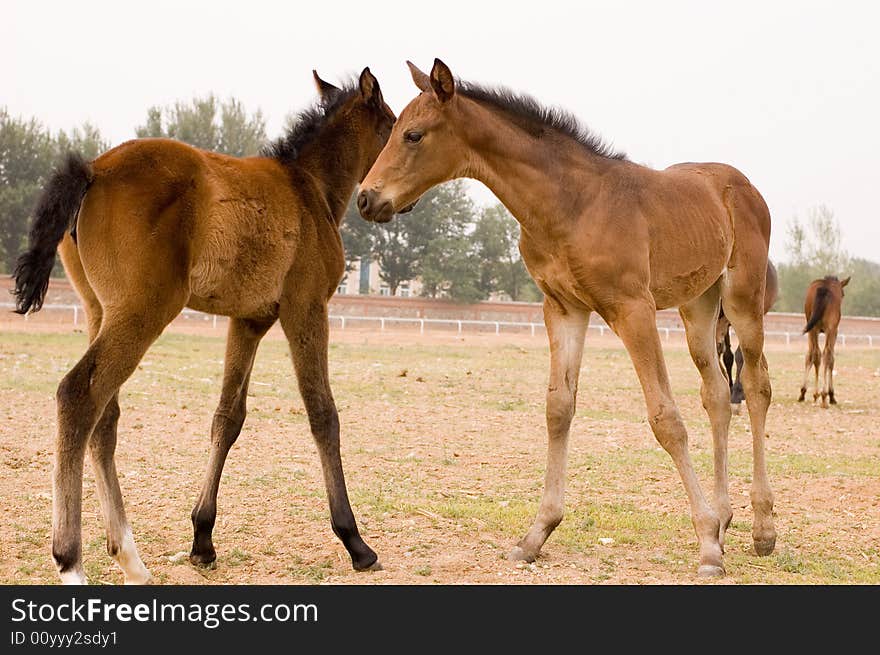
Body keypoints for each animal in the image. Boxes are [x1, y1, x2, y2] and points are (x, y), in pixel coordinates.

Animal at [11, 69, 392, 588]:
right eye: (396, 124)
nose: (380, 201)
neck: (308, 187)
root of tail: (94, 169)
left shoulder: (250, 319)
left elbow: (227, 417)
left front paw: (202, 539)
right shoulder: (306, 308)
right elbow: (322, 415)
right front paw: (354, 541)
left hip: (98, 310)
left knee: (104, 416)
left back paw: (131, 559)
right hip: (143, 310)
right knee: (78, 394)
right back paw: (71, 562)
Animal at [354, 59, 772, 576]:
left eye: (413, 135)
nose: (366, 199)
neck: (572, 203)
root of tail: (743, 185)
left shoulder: (632, 308)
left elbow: (665, 418)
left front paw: (708, 546)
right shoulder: (563, 308)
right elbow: (559, 408)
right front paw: (537, 534)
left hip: (742, 299)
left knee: (755, 388)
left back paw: (761, 527)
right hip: (698, 305)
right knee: (715, 394)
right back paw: (726, 515)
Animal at [796, 274, 852, 408]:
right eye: (843, 293)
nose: (843, 295)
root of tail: (824, 288)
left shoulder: (811, 329)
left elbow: (809, 356)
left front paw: (803, 392)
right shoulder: (834, 331)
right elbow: (831, 358)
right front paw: (831, 395)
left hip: (813, 329)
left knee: (816, 354)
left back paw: (816, 394)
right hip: (830, 329)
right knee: (826, 354)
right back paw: (824, 395)